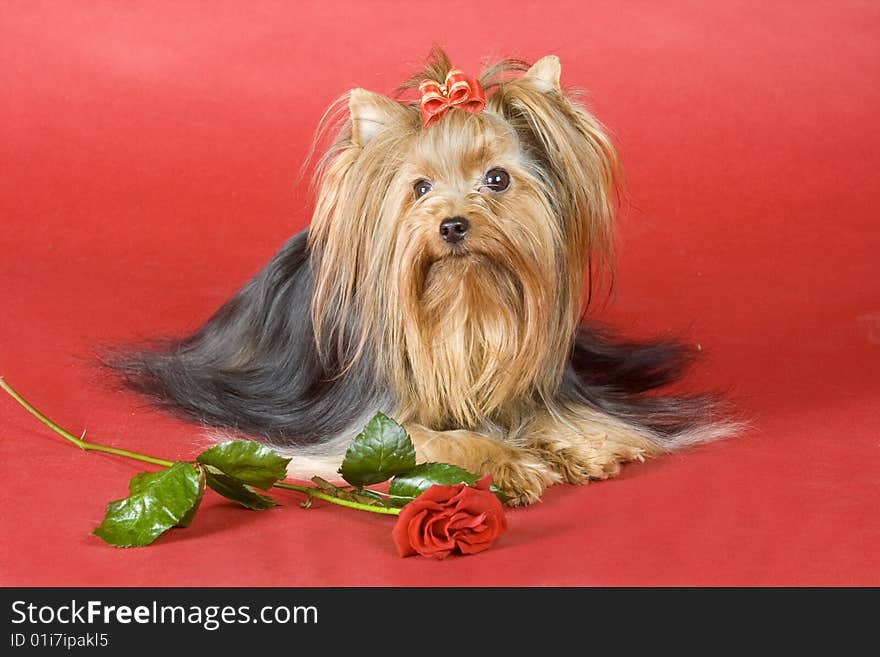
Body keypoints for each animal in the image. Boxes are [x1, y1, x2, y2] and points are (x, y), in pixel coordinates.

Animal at [110, 48, 732, 504]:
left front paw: (581, 446)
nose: (452, 225)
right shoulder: (367, 427)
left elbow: (562, 416)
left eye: (498, 179)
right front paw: (512, 461)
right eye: (421, 188)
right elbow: (441, 440)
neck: (469, 305)